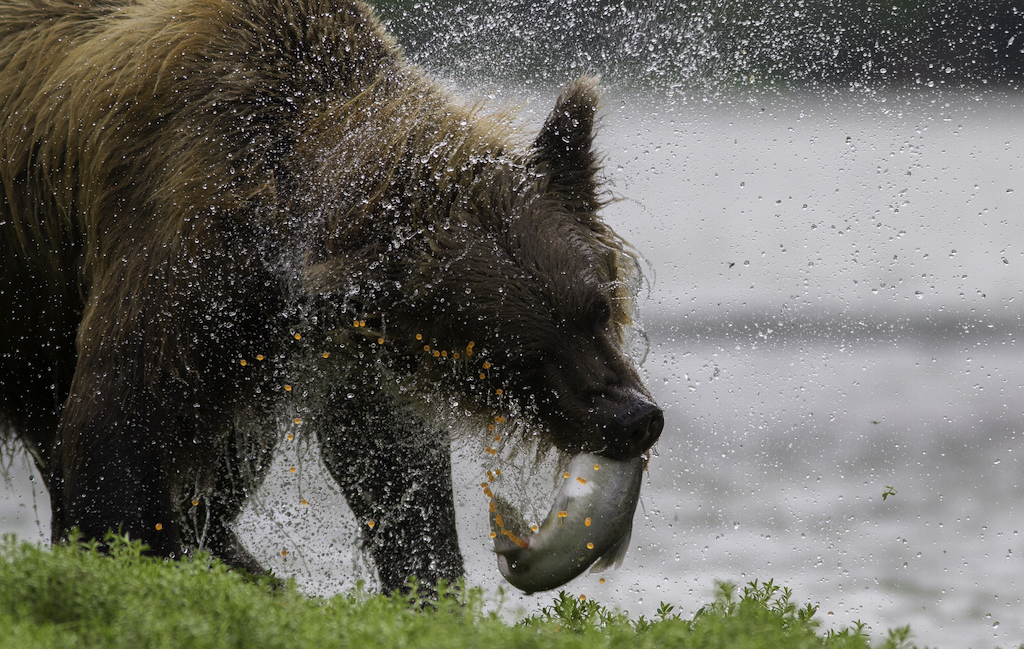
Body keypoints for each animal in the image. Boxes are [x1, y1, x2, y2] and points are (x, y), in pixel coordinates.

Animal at [0, 0, 663, 593]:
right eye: (510, 347)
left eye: (595, 309)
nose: (634, 418)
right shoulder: (175, 255)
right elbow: (116, 446)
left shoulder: (345, 347)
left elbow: (393, 472)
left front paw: (425, 581)